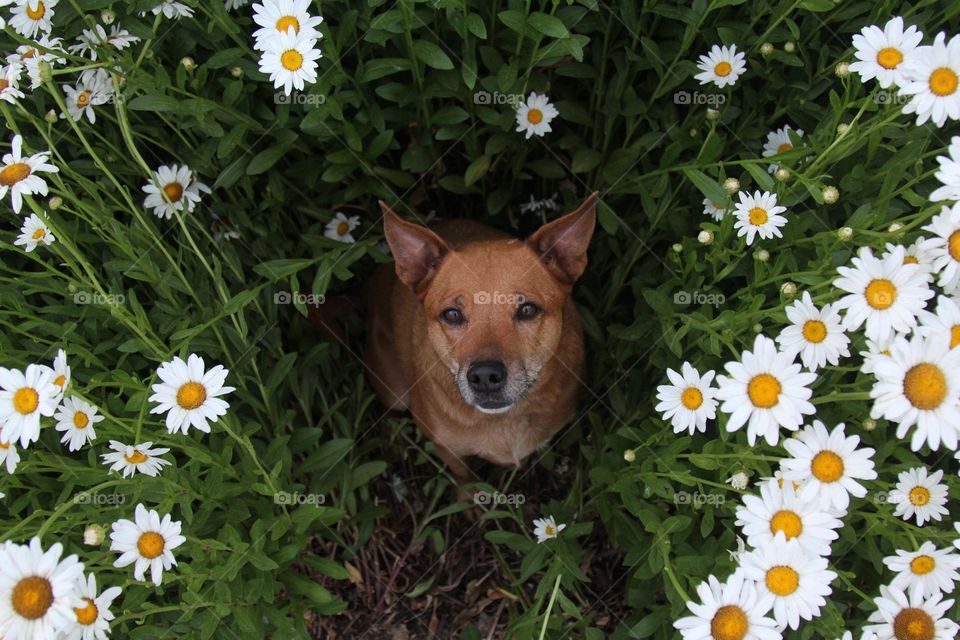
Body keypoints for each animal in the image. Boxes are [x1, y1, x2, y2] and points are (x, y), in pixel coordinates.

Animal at [364, 192, 596, 482]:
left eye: (527, 310)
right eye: (452, 314)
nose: (485, 376)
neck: (503, 421)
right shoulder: (447, 449)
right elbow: (466, 478)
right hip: (393, 393)